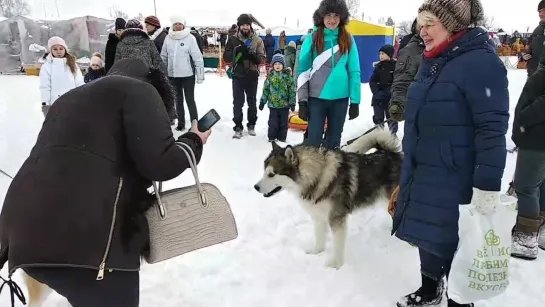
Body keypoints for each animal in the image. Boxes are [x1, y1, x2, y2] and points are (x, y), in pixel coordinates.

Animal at [253, 128, 402, 270]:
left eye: (271, 174)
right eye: (264, 172)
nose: (255, 187)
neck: (317, 176)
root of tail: (392, 154)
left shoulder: (336, 219)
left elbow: (338, 246)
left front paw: (336, 266)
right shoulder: (319, 216)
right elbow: (319, 237)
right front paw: (316, 252)